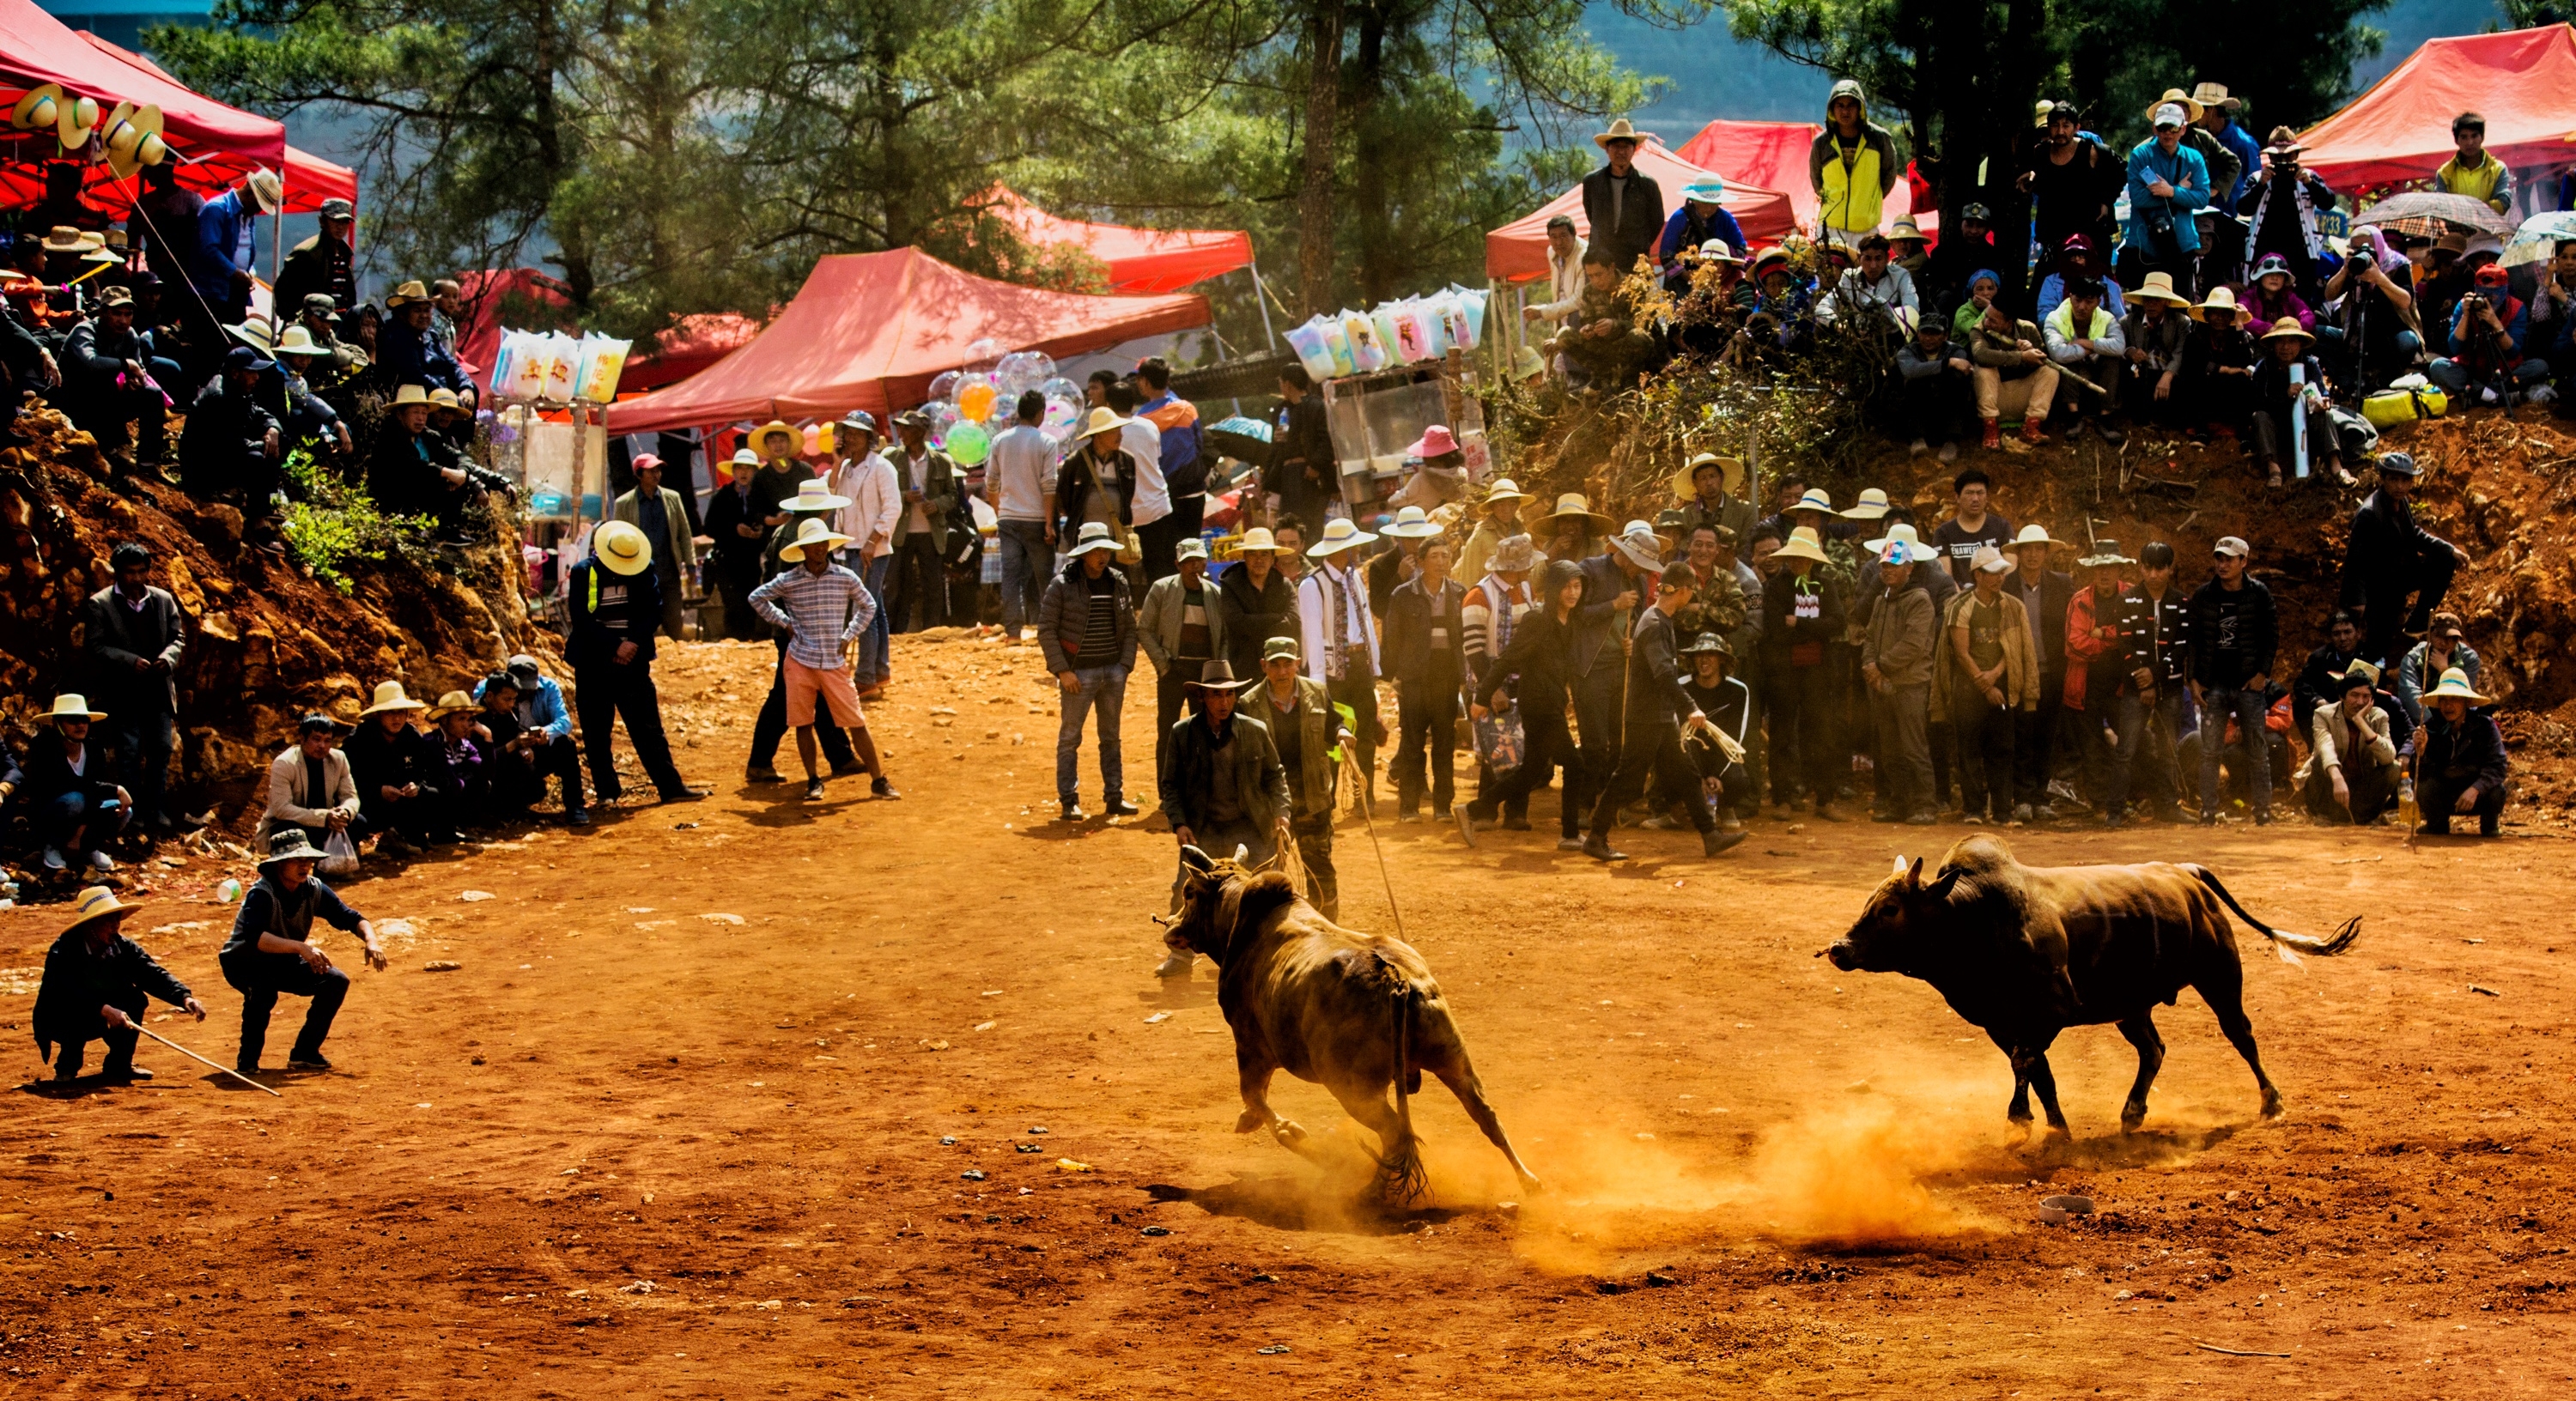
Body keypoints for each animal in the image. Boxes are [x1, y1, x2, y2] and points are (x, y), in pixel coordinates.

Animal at [1164, 845, 1535, 1205]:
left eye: (1189, 893)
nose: (1168, 924)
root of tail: (1395, 979)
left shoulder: (1250, 1044)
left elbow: (1255, 1096)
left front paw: (1287, 1132)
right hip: (1453, 1061)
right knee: (1485, 1116)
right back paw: (1530, 1181)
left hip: (1354, 1090)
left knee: (1395, 1133)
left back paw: (1371, 1193)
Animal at [1824, 840, 2360, 1133]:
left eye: (1891, 908)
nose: (1839, 948)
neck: (1974, 918)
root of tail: (2185, 873)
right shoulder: (2001, 1022)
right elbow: (2038, 1070)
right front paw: (2056, 1128)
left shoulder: (2055, 1009)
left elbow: (2026, 1063)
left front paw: (2019, 1120)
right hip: (2132, 1005)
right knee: (2153, 1049)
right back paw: (2133, 1111)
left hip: (2219, 977)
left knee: (2240, 1034)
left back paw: (2272, 1102)